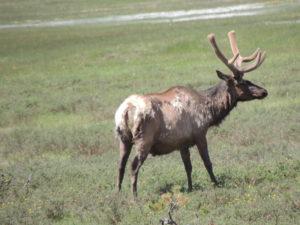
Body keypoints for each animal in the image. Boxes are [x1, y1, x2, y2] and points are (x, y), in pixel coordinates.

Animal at [114, 30, 268, 197]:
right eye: (242, 83)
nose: (264, 91)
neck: (209, 112)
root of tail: (125, 110)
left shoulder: (182, 142)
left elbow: (188, 167)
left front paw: (190, 188)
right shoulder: (199, 133)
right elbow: (207, 162)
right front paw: (216, 183)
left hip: (123, 138)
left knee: (120, 165)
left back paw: (117, 194)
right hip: (144, 139)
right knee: (133, 166)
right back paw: (134, 196)